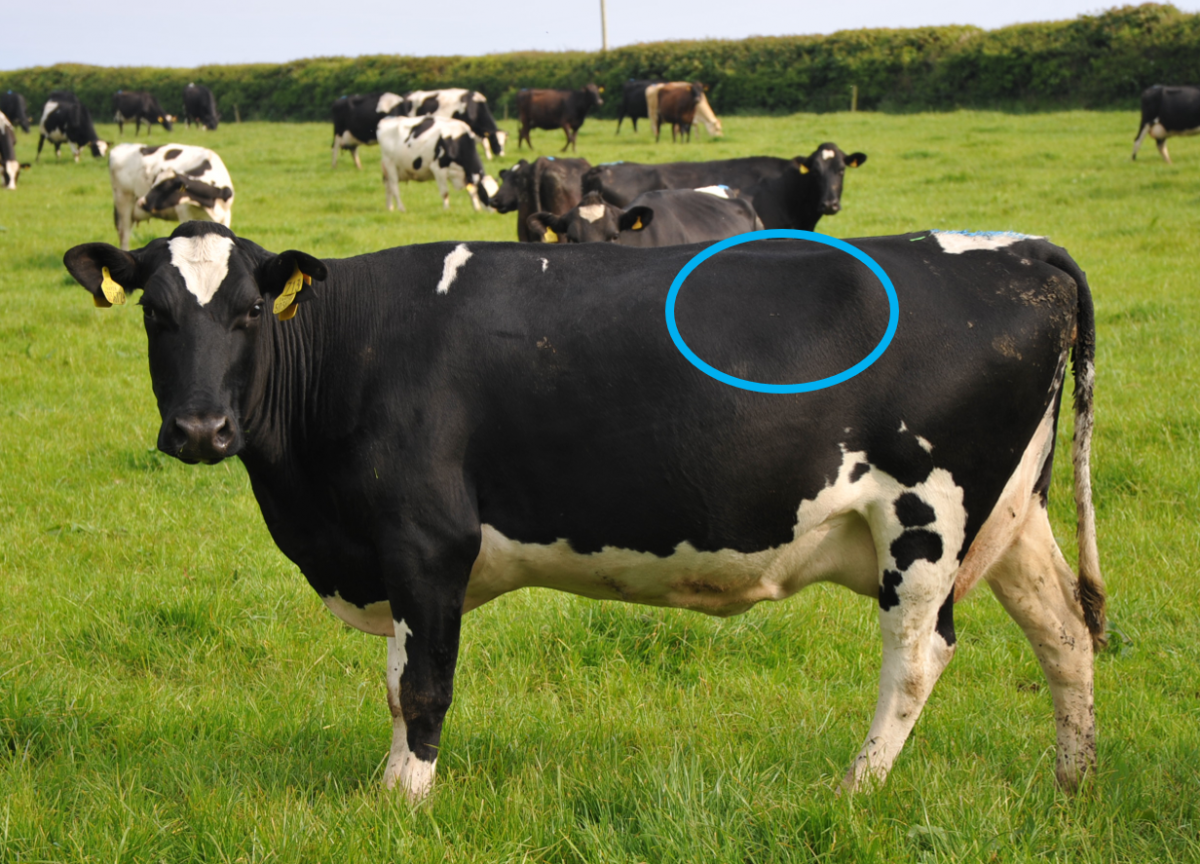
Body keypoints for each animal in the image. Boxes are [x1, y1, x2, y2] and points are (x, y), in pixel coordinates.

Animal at [63, 221, 1104, 804]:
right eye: (155, 312)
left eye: (248, 312)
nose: (200, 429)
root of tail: (1019, 247)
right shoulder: (391, 554)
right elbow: (400, 683)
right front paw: (389, 786)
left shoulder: (426, 540)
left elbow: (424, 684)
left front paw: (406, 801)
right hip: (1016, 514)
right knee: (1066, 630)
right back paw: (1072, 782)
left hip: (926, 520)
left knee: (919, 658)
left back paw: (852, 790)